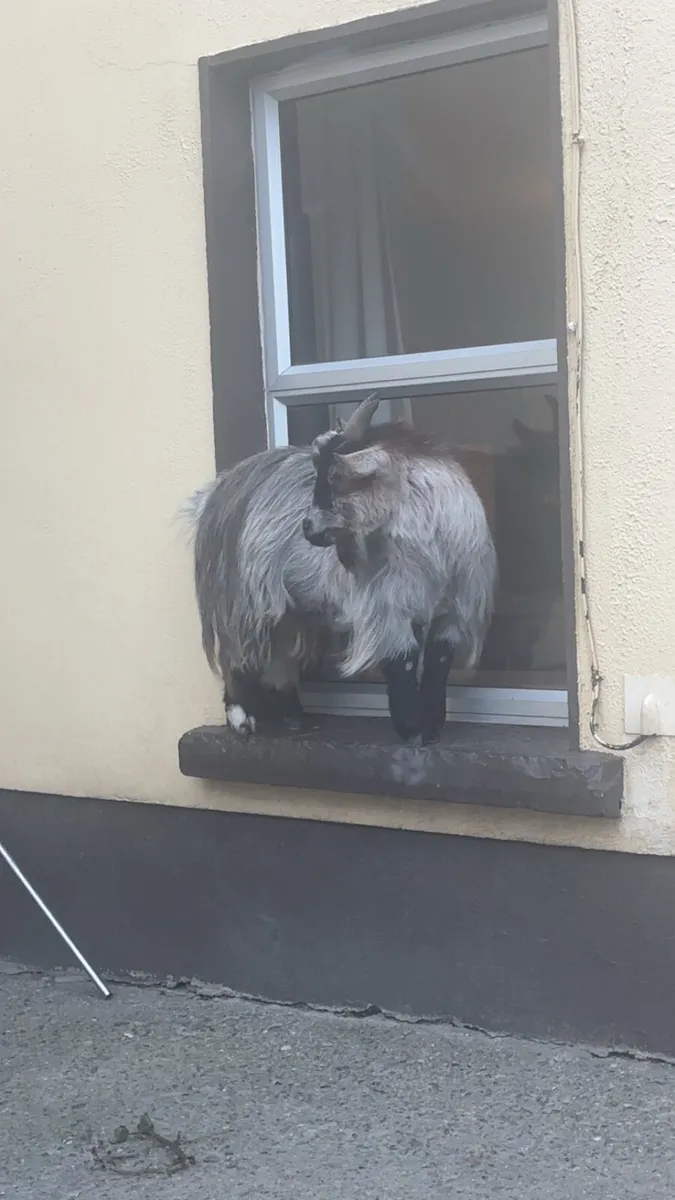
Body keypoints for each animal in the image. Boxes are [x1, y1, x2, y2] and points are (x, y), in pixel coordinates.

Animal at [188, 395, 497, 743]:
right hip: (245, 597)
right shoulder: (387, 603)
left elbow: (437, 661)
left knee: (280, 655)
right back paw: (241, 717)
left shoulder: (452, 609)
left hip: (289, 608)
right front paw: (412, 730)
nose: (307, 528)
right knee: (240, 654)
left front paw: (431, 727)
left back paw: (295, 716)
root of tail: (217, 491)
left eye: (336, 478)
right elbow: (402, 659)